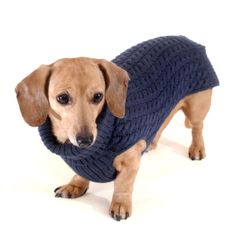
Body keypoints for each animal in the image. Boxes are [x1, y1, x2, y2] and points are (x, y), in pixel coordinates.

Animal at [15, 36, 218, 220]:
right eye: (62, 98)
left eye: (98, 96)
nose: (85, 140)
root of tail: (193, 42)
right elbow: (80, 174)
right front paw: (75, 185)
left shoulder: (130, 161)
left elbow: (123, 185)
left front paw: (120, 205)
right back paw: (151, 143)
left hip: (197, 107)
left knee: (197, 127)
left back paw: (197, 149)